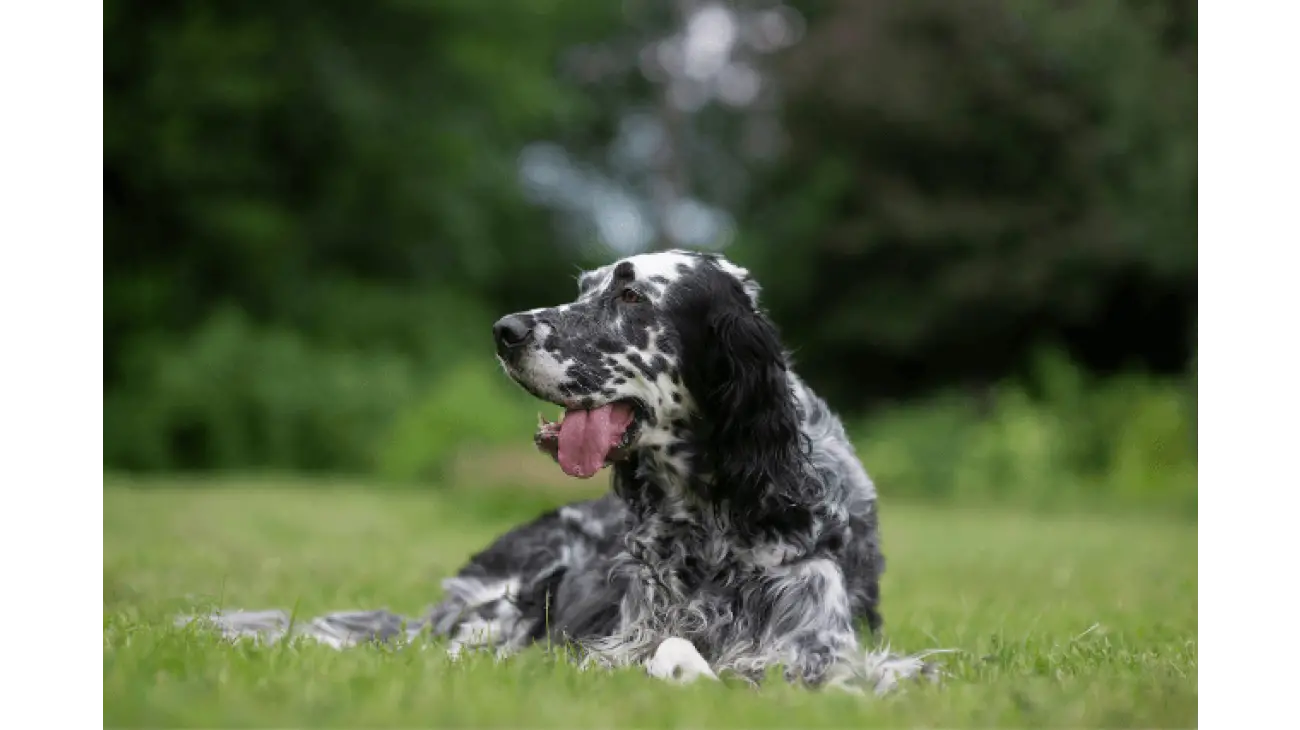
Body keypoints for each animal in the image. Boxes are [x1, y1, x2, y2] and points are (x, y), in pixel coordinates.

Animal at [183, 246, 941, 691]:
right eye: (585, 287)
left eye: (631, 296)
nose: (505, 331)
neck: (717, 515)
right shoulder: (618, 636)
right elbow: (672, 653)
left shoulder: (821, 648)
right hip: (512, 595)